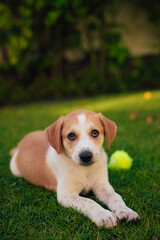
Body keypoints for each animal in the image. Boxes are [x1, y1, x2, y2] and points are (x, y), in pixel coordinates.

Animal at [9, 109, 140, 228]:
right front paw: (103, 215)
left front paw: (126, 211)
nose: (86, 156)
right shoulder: (66, 194)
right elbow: (88, 202)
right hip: (14, 169)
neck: (85, 170)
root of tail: (21, 143)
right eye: (71, 135)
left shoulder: (102, 185)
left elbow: (115, 196)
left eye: (95, 132)